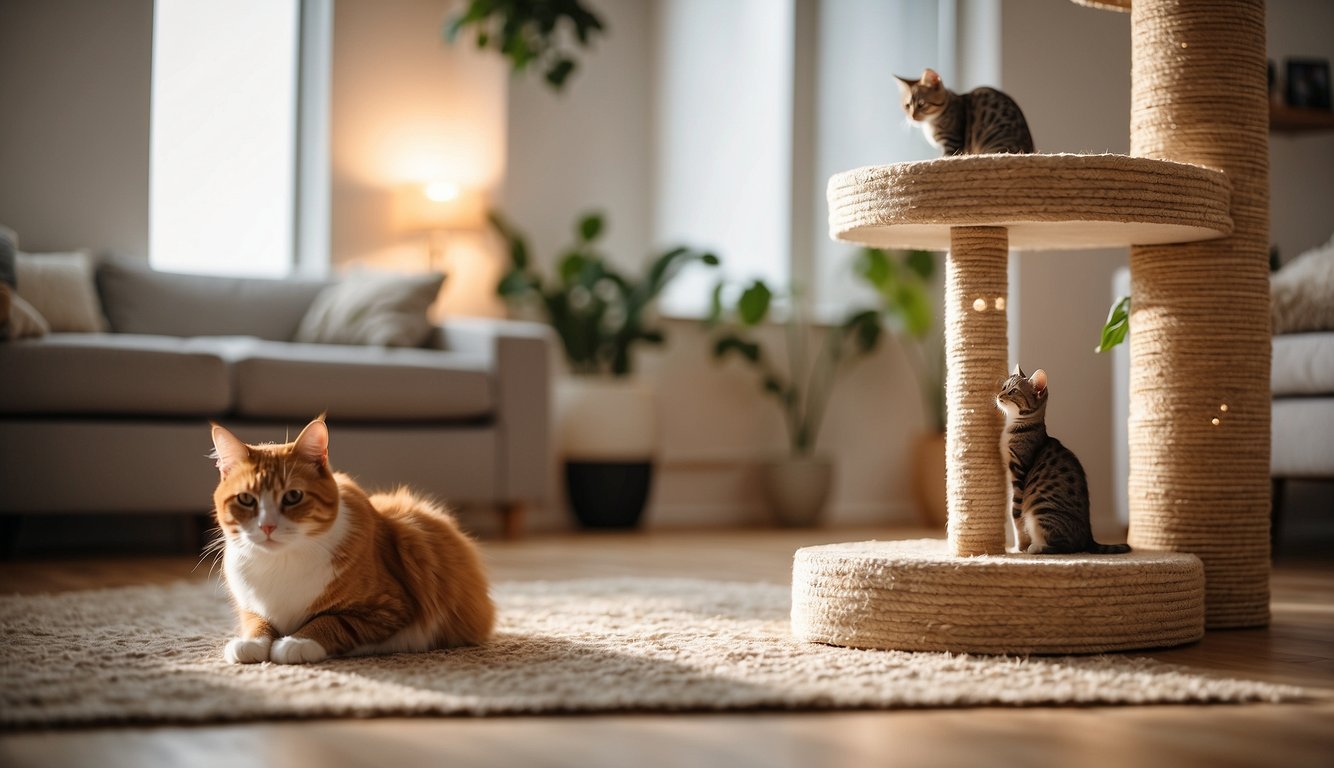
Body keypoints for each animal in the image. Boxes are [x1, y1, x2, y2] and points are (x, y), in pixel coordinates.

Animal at [208, 416, 496, 664]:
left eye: (293, 497)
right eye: (246, 499)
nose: (267, 526)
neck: (280, 564)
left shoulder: (389, 608)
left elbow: (331, 622)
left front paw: (297, 642)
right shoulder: (249, 605)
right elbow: (256, 621)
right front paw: (251, 642)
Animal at [997, 368, 1131, 554]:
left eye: (1013, 391)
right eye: (1004, 387)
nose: (999, 395)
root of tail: (1089, 537)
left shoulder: (1018, 473)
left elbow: (1015, 516)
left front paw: (1018, 548)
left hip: (1042, 509)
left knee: (1066, 546)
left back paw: (1036, 547)